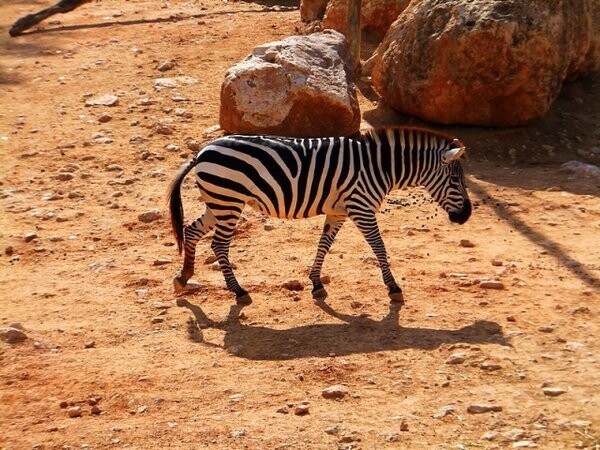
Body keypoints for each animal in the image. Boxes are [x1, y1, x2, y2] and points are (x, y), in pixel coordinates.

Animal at [166, 125, 472, 304]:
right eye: (456, 180)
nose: (466, 216)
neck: (382, 166)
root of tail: (202, 151)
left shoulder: (338, 212)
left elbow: (324, 244)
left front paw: (315, 283)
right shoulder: (362, 208)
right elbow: (379, 247)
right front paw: (393, 288)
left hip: (218, 203)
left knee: (192, 230)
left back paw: (184, 277)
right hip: (228, 202)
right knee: (219, 244)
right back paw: (238, 291)